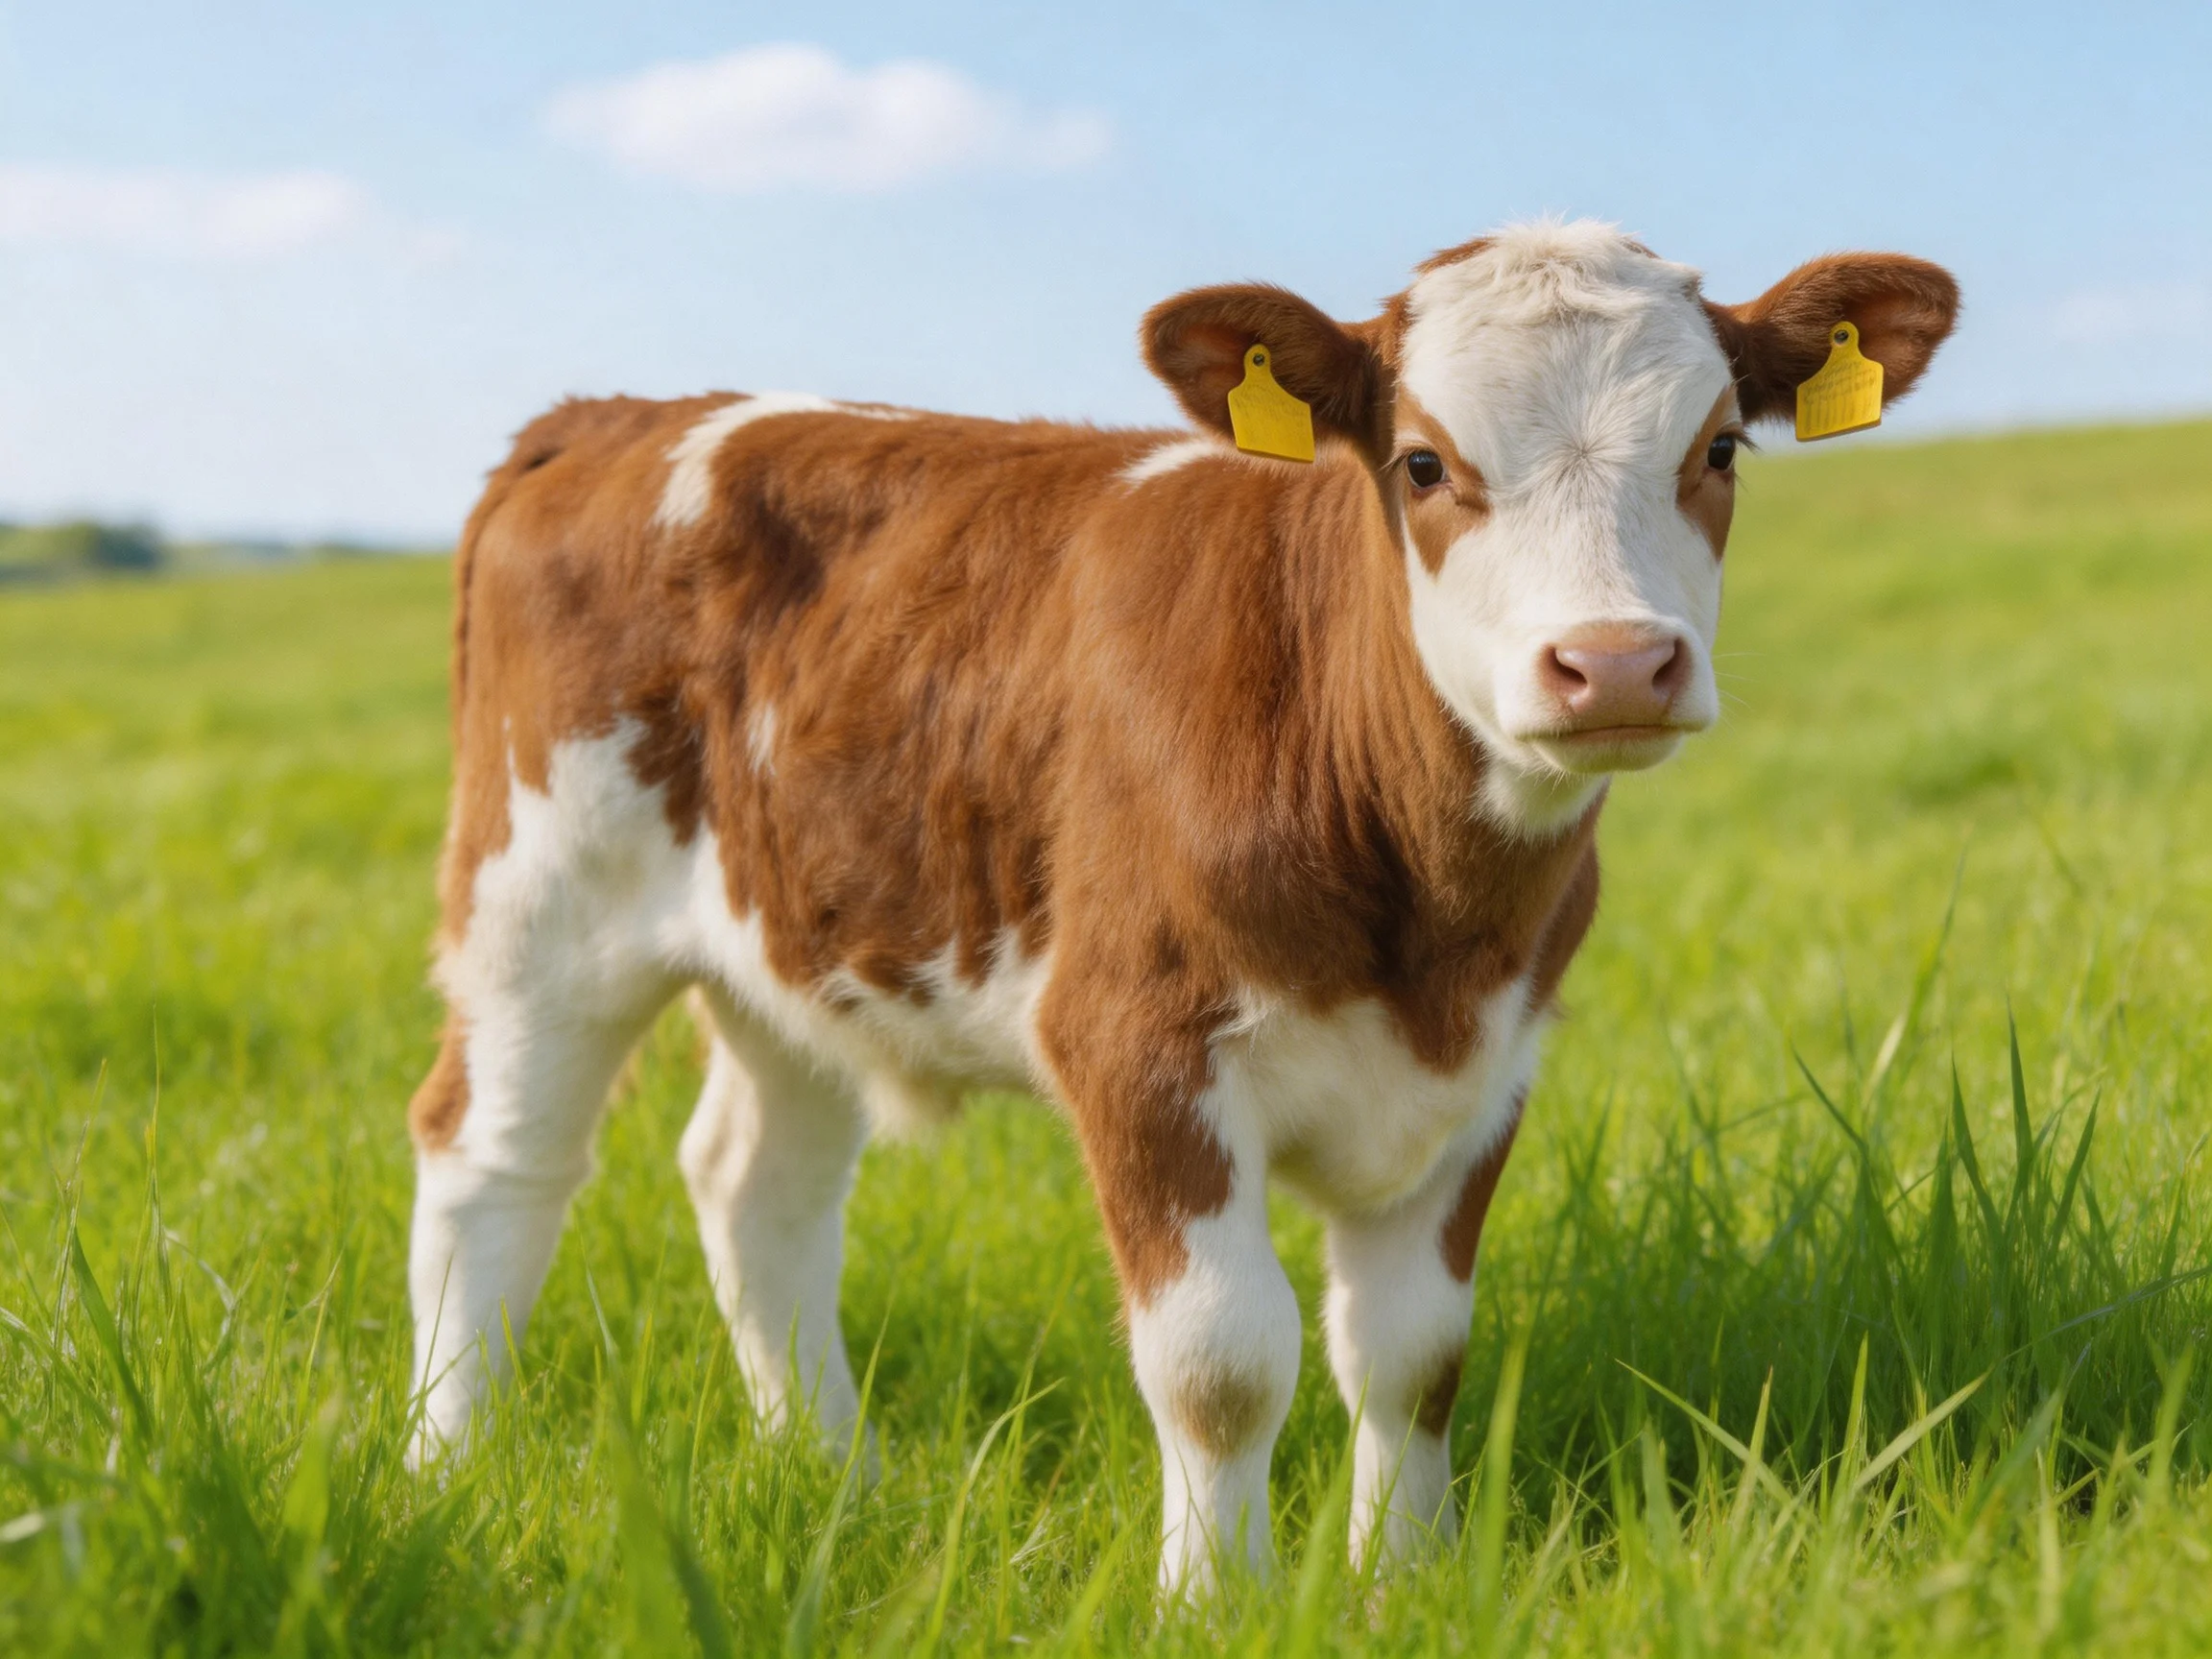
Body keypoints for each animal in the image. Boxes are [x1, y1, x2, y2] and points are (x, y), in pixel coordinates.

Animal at [404, 218, 1957, 1591]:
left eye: (1718, 448)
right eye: (1423, 461)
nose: (1618, 662)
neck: (1426, 922)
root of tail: (615, 415)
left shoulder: (1490, 1064)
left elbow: (1412, 1354)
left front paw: (1403, 1583)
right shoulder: (1136, 1042)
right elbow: (1222, 1362)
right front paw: (1215, 1597)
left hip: (800, 943)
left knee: (755, 1188)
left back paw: (832, 1475)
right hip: (538, 908)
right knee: (493, 1164)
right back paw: (449, 1470)